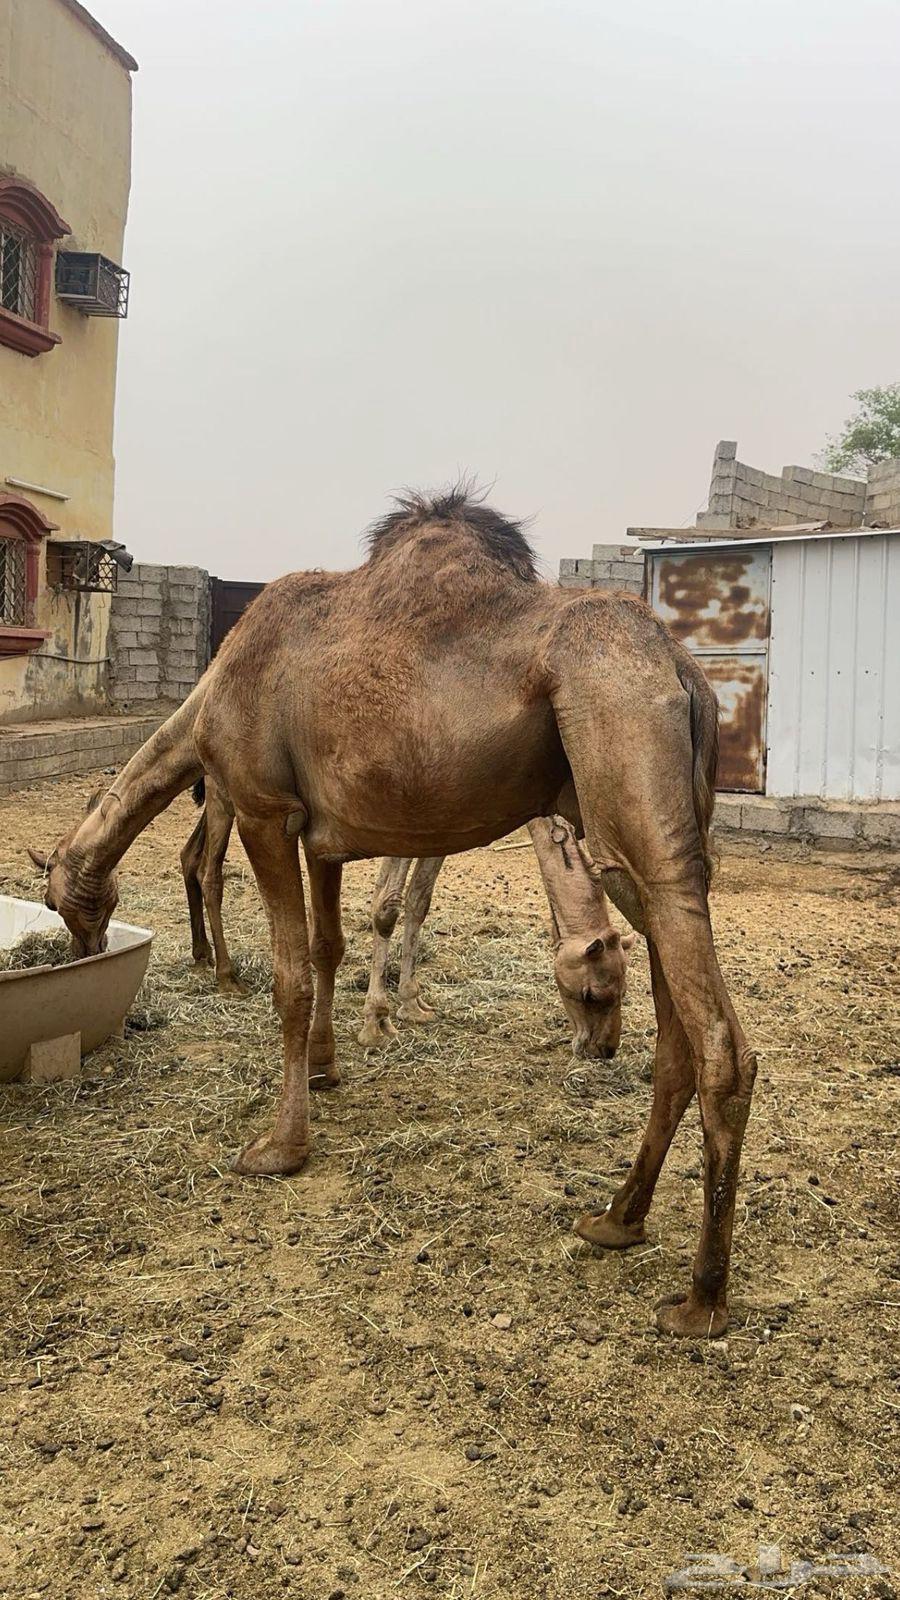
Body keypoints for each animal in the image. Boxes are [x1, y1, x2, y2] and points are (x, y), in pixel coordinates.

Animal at [180, 790, 634, 1058]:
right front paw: (375, 1024)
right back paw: (226, 974)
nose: (603, 1049)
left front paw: (413, 1004)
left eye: (623, 990)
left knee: (195, 856)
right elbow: (386, 907)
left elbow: (419, 901)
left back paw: (205, 956)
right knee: (211, 867)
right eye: (592, 993)